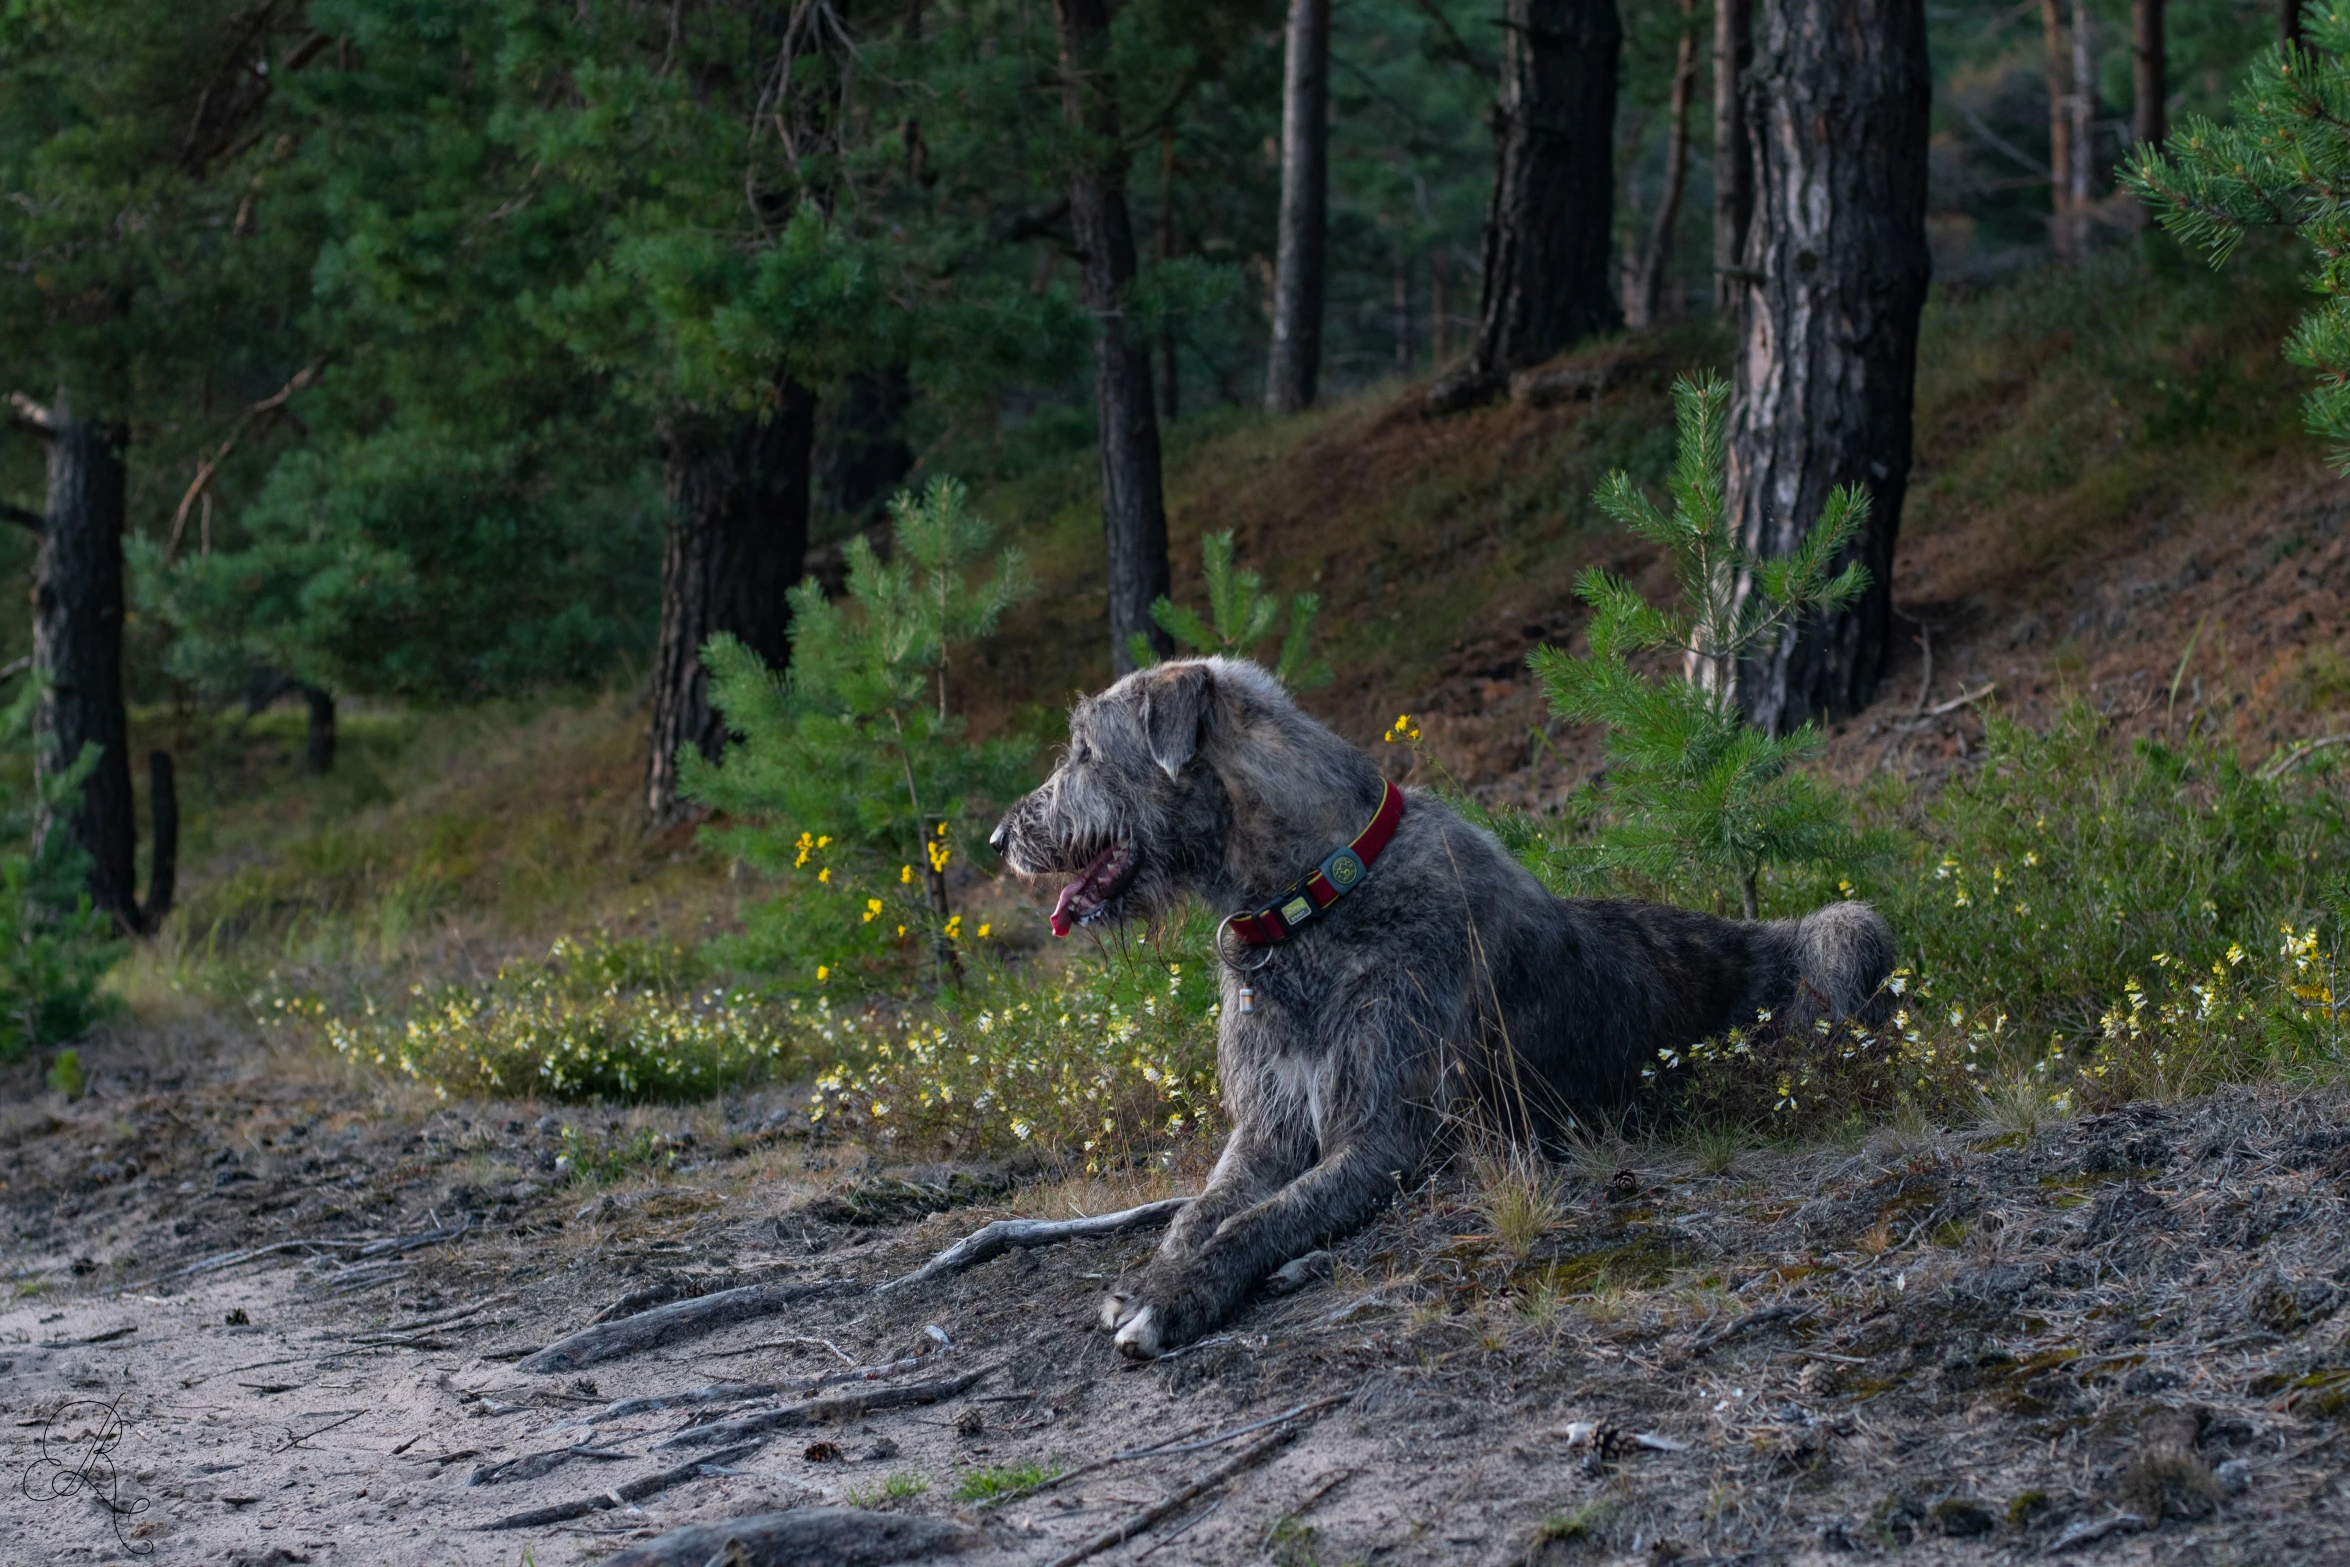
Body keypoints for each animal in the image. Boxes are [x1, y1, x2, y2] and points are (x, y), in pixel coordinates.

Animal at [991, 657, 1889, 1353]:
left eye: (1085, 750)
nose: (1001, 840)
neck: (1310, 900)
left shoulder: (1383, 1131)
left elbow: (1264, 1216)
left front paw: (1173, 1296)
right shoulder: (1267, 1126)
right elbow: (1201, 1208)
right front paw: (1152, 1271)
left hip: (1849, 931)